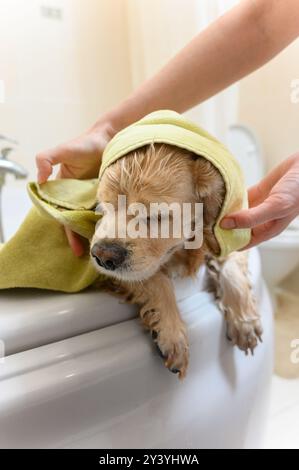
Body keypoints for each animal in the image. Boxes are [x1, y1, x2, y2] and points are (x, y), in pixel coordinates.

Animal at [89, 143, 262, 378]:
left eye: (156, 216)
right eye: (102, 207)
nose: (102, 256)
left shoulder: (229, 235)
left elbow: (231, 267)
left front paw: (245, 322)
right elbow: (157, 280)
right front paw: (173, 335)